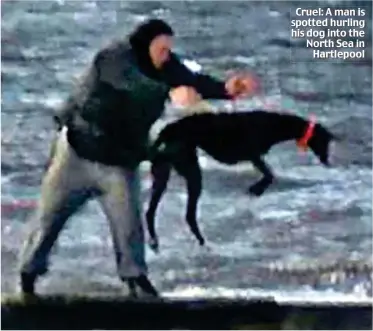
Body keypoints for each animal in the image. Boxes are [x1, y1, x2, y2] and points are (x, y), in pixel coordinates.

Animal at [145, 110, 334, 253]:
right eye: (324, 142)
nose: (327, 162)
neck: (274, 124)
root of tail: (169, 129)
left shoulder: (254, 157)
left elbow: (269, 175)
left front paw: (256, 189)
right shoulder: (254, 155)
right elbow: (269, 175)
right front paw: (256, 189)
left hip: (164, 173)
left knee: (150, 212)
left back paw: (155, 242)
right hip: (191, 171)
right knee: (189, 215)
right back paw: (202, 243)